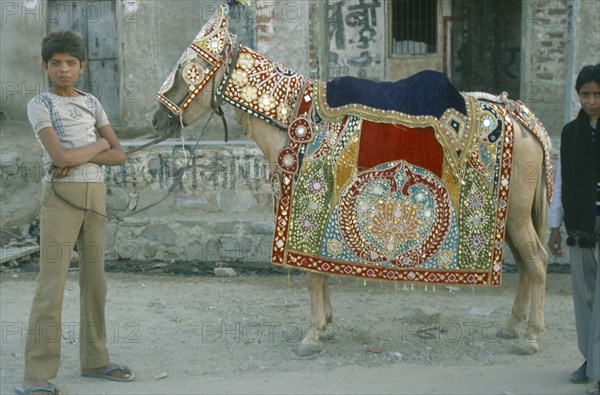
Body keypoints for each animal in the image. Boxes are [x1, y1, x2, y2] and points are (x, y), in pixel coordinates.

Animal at [151, 1, 552, 358]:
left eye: (191, 67)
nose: (156, 120)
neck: (291, 116)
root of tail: (519, 114)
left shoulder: (308, 206)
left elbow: (311, 273)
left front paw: (312, 334)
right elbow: (320, 271)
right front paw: (326, 324)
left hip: (516, 214)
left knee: (536, 261)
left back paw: (532, 337)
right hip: (510, 217)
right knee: (525, 261)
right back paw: (512, 326)